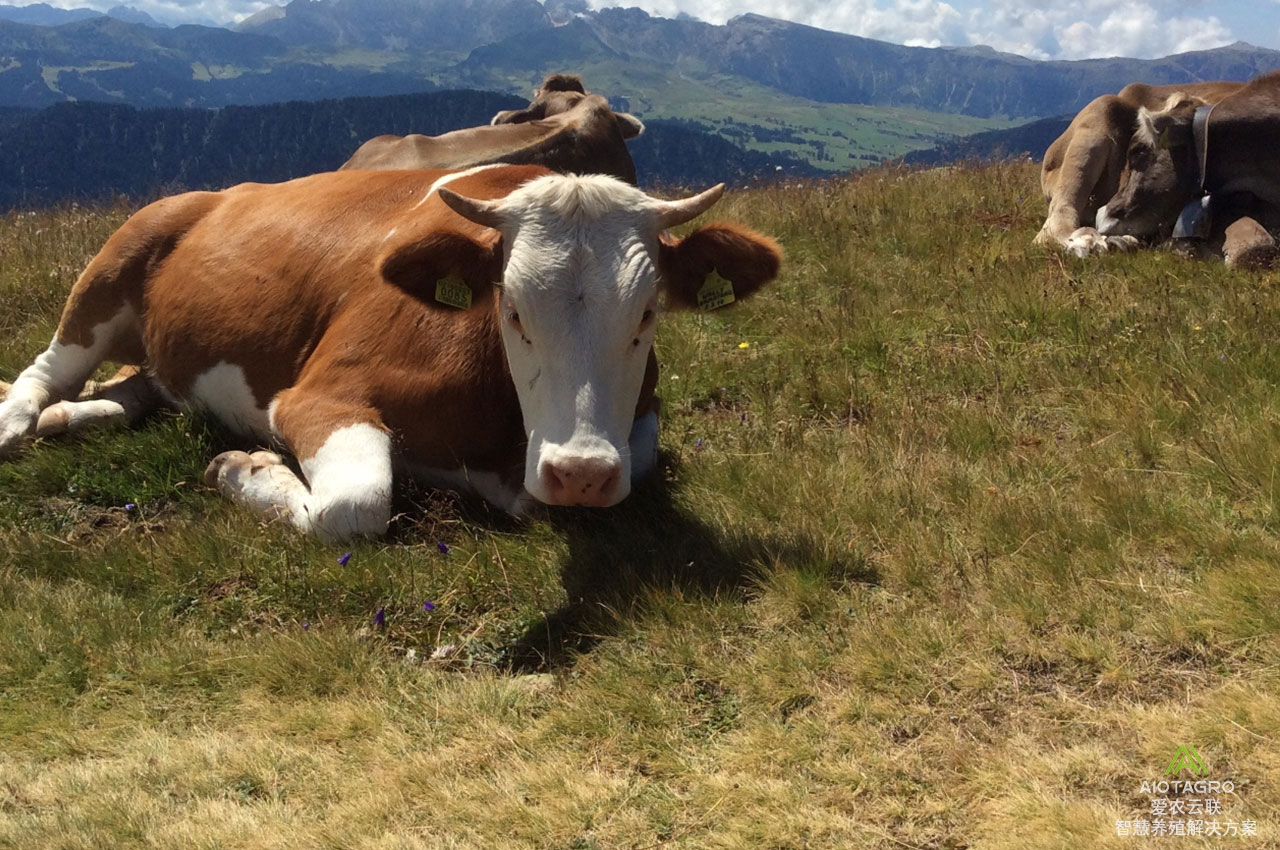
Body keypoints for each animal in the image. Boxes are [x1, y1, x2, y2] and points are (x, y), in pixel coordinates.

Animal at [0, 163, 778, 540]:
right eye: (512, 309)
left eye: (647, 312)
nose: (579, 473)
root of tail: (211, 194)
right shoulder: (321, 395)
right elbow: (354, 506)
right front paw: (244, 468)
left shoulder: (636, 424)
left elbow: (637, 462)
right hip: (114, 264)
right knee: (44, 370)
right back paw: (17, 422)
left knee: (137, 384)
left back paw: (73, 417)